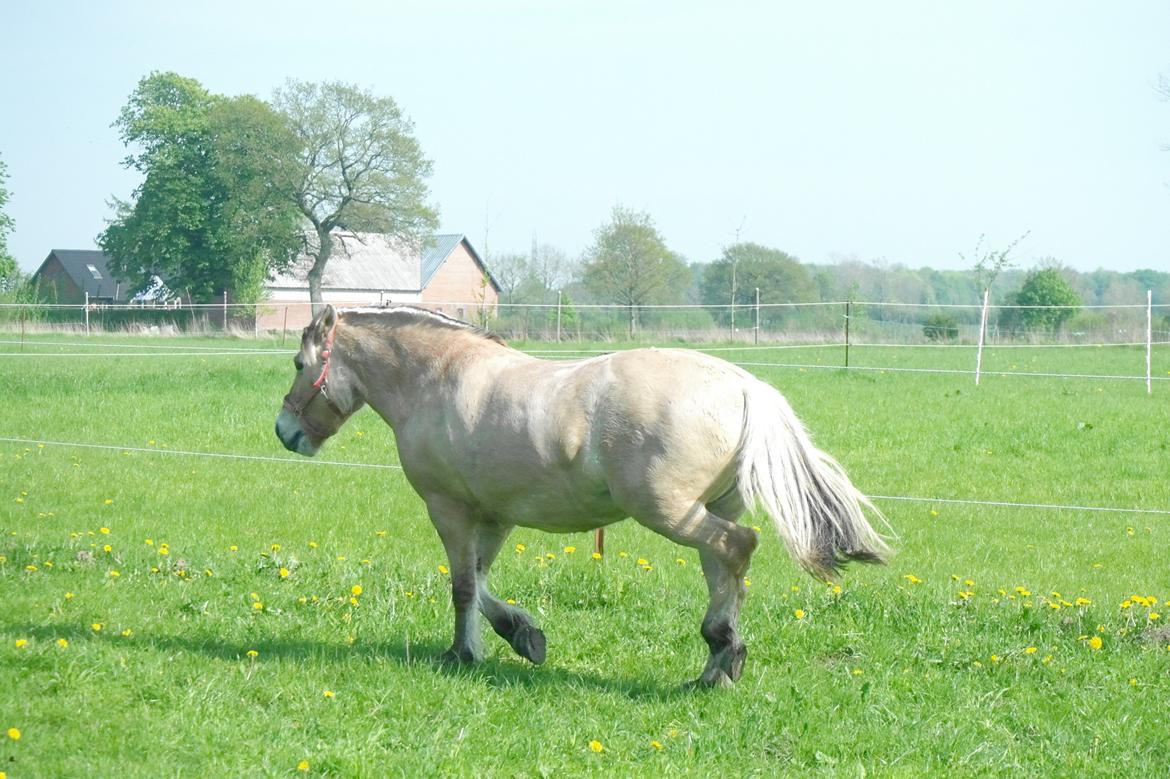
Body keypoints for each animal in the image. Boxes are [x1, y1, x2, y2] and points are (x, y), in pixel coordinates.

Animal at [276, 304, 884, 687]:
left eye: (301, 364)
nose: (285, 433)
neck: (439, 379)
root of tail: (743, 385)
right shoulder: (494, 517)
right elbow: (483, 584)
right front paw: (523, 637)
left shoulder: (449, 509)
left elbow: (463, 587)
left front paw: (462, 653)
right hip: (707, 508)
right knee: (724, 565)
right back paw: (714, 664)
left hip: (669, 512)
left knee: (737, 547)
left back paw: (723, 657)